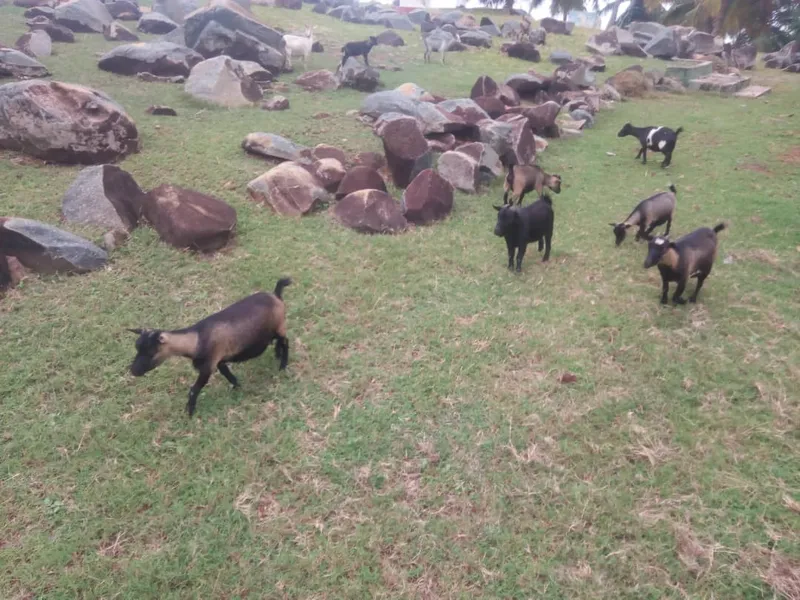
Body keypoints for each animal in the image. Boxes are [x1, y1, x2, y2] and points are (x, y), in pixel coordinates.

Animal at [127, 278, 292, 416]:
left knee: (286, 342)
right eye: (137, 348)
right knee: (279, 341)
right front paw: (236, 386)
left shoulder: (207, 367)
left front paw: (189, 412)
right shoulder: (219, 360)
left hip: (279, 326)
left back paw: (282, 366)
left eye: (151, 352)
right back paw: (277, 354)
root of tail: (276, 295)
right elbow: (227, 374)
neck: (197, 339)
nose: (133, 371)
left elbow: (193, 390)